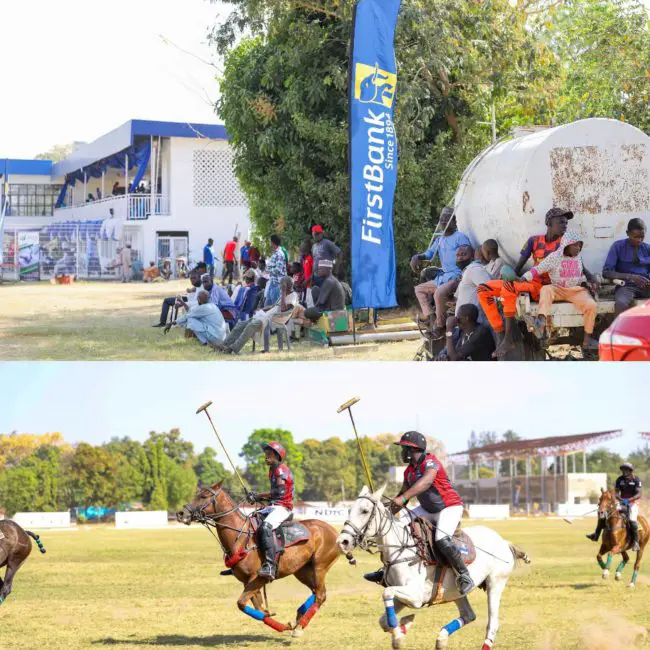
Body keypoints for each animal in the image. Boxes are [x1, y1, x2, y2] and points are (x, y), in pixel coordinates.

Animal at [175, 480, 346, 632]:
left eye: (204, 496)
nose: (181, 513)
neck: (241, 537)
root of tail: (335, 531)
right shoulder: (247, 582)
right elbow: (260, 609)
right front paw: (282, 624)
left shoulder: (257, 578)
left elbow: (242, 603)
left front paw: (283, 626)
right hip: (302, 570)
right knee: (316, 592)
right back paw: (298, 617)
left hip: (319, 567)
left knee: (320, 594)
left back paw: (299, 627)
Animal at [336, 484, 528, 644]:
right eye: (349, 510)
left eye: (365, 511)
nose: (342, 541)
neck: (402, 548)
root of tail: (504, 542)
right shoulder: (402, 595)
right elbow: (383, 621)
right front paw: (403, 626)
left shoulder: (416, 596)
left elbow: (387, 594)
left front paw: (399, 634)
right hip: (455, 591)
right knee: (469, 615)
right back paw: (441, 639)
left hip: (495, 583)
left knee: (492, 624)